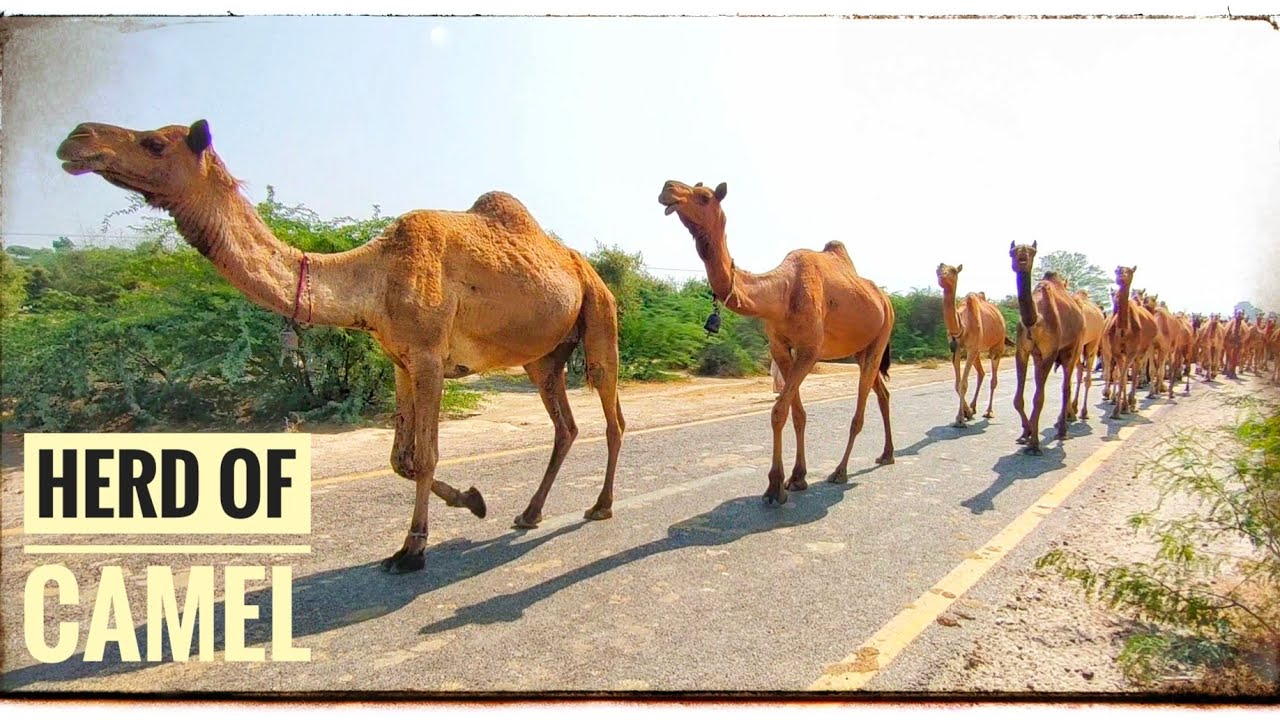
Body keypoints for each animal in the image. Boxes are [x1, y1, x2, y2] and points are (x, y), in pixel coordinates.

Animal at [58, 120, 626, 574]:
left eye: (154, 143)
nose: (77, 138)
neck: (374, 276)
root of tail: (584, 266)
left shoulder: (428, 358)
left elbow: (426, 455)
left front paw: (412, 551)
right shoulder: (400, 361)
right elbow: (401, 459)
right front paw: (474, 501)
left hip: (600, 313)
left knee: (611, 413)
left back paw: (600, 507)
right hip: (542, 358)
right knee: (565, 425)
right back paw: (528, 513)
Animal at [659, 180, 894, 504]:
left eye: (704, 196)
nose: (667, 188)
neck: (783, 291)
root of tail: (884, 298)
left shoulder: (810, 350)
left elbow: (778, 412)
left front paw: (774, 487)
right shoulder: (780, 348)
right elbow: (797, 414)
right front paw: (796, 478)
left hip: (882, 333)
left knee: (860, 409)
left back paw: (840, 472)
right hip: (861, 349)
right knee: (881, 392)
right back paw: (887, 455)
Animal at [936, 263, 1009, 427]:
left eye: (953, 270)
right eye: (939, 267)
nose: (940, 272)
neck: (962, 326)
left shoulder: (971, 349)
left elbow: (963, 383)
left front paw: (960, 419)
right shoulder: (956, 350)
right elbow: (958, 383)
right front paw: (966, 412)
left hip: (997, 346)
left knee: (993, 379)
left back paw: (989, 411)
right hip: (977, 351)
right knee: (981, 373)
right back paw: (974, 407)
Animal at [1008, 242, 1086, 454]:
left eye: (1032, 251)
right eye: (1013, 252)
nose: (1022, 258)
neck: (1035, 319)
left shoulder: (1050, 352)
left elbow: (1039, 399)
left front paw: (1034, 443)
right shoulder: (1023, 350)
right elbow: (1018, 399)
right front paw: (1026, 433)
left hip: (1073, 349)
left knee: (1066, 385)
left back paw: (1063, 431)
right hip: (1038, 356)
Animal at [1102, 267, 1157, 418]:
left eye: (1130, 271)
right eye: (1117, 270)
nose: (1121, 276)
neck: (1124, 328)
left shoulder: (1132, 351)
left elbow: (1124, 377)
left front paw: (1123, 407)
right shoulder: (1116, 351)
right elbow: (1121, 377)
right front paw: (1118, 408)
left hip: (1141, 351)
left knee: (1137, 369)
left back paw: (1132, 402)